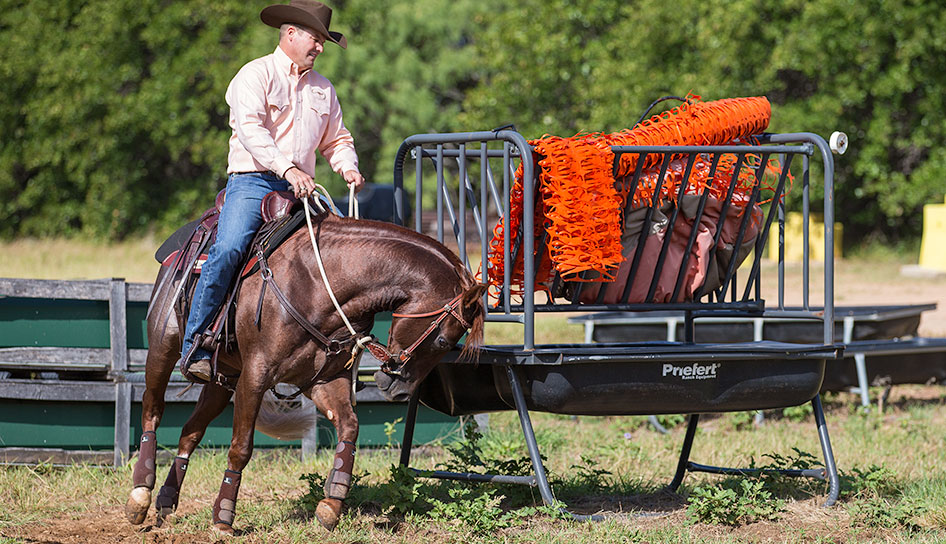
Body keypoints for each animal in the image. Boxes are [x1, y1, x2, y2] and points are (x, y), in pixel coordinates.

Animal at [121, 210, 484, 532]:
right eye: (442, 340)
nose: (400, 391)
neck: (320, 282)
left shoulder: (323, 380)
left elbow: (349, 426)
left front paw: (332, 502)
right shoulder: (255, 376)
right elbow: (240, 447)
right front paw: (223, 516)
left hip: (221, 379)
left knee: (190, 431)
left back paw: (166, 499)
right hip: (163, 350)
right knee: (152, 410)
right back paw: (140, 494)